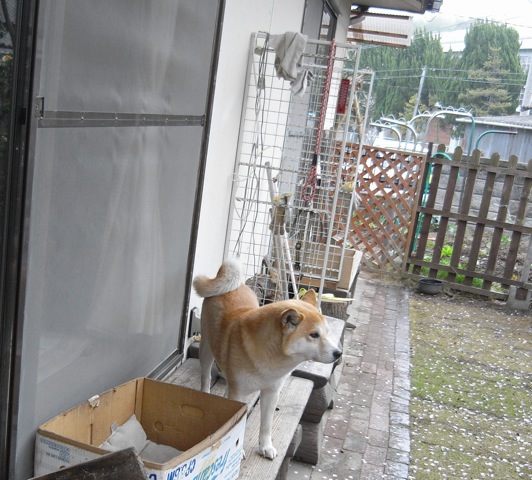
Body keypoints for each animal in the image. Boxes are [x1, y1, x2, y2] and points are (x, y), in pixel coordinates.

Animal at [193, 259, 342, 460]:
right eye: (314, 335)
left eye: (327, 333)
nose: (338, 353)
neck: (271, 358)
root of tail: (233, 286)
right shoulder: (239, 393)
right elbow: (240, 423)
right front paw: (238, 449)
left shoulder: (272, 392)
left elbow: (266, 425)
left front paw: (265, 447)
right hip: (207, 350)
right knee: (206, 376)